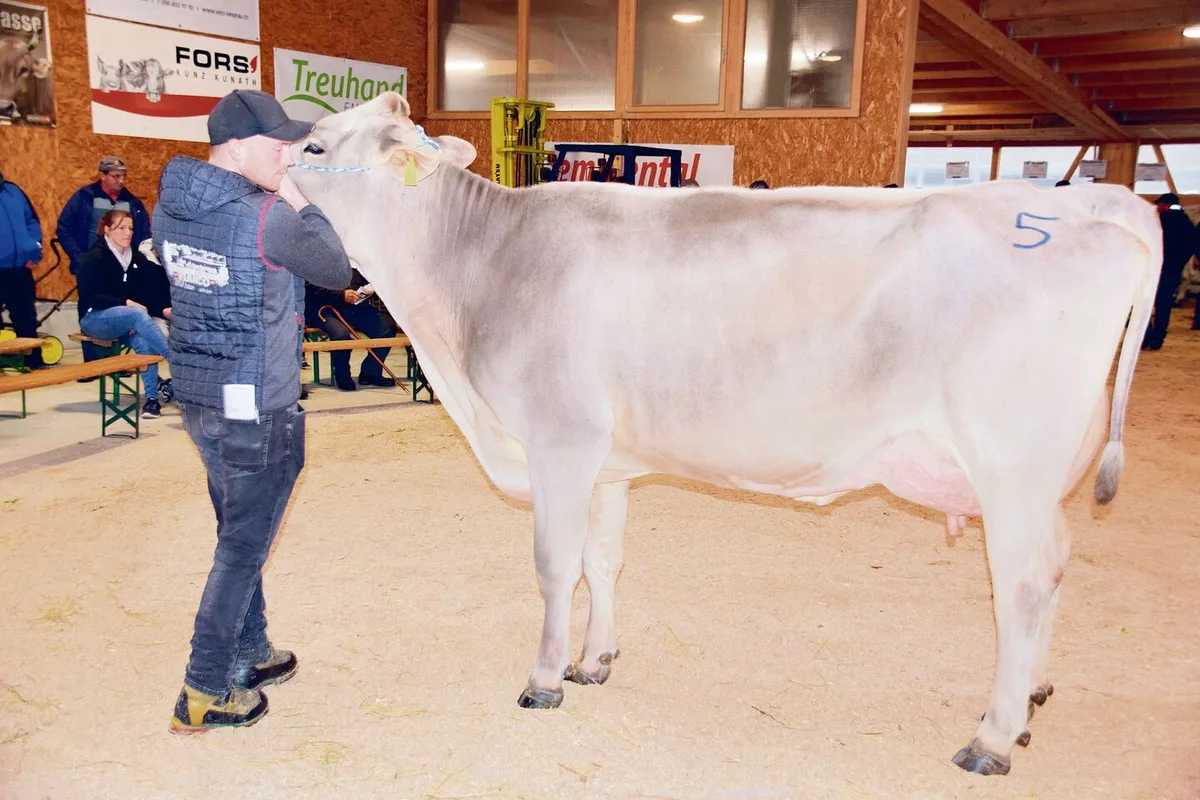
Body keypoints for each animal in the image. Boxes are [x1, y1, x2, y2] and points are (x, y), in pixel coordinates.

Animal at [289, 92, 1161, 777]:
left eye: (315, 146)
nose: (272, 163)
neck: (479, 269)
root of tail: (1088, 203)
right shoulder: (605, 462)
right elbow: (603, 561)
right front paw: (595, 660)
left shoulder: (559, 441)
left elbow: (554, 566)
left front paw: (544, 676)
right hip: (1040, 479)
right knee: (1055, 562)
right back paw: (1034, 695)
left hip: (1011, 465)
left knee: (1022, 583)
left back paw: (993, 736)